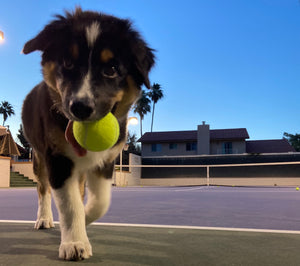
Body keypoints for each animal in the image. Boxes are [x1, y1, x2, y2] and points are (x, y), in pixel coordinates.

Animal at [21, 7, 155, 260]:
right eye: (67, 62)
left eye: (111, 69)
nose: (80, 108)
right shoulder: (58, 159)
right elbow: (70, 206)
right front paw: (74, 243)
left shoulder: (106, 160)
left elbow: (100, 202)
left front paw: (84, 220)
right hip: (39, 159)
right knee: (42, 189)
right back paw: (44, 219)